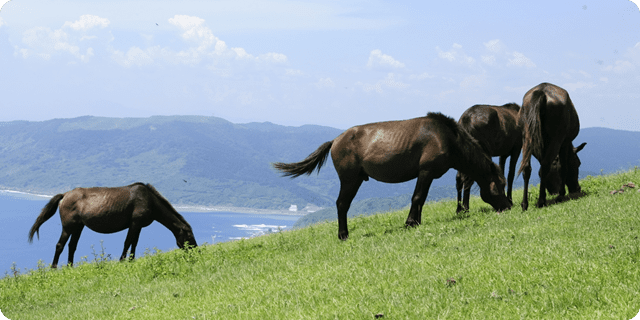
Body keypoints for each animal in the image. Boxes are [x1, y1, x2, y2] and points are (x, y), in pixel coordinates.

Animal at [28, 182, 198, 268]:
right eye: (189, 235)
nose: (197, 251)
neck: (149, 200)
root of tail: (65, 195)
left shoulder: (138, 226)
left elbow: (135, 243)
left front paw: (131, 260)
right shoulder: (134, 223)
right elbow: (128, 241)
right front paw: (123, 260)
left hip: (78, 226)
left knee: (72, 245)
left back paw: (70, 266)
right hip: (68, 226)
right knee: (60, 245)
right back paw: (54, 268)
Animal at [272, 111, 512, 239]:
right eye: (500, 185)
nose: (509, 206)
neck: (447, 138)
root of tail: (336, 140)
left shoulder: (427, 175)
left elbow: (421, 199)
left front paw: (416, 221)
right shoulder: (425, 172)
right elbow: (418, 197)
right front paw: (410, 223)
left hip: (356, 179)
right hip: (349, 179)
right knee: (342, 204)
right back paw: (343, 235)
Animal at [520, 82, 584, 210]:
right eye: (577, 163)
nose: (577, 188)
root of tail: (541, 92)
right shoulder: (564, 142)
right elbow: (563, 167)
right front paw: (561, 194)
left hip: (526, 138)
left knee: (527, 167)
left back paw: (525, 204)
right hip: (557, 138)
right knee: (545, 165)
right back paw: (541, 201)